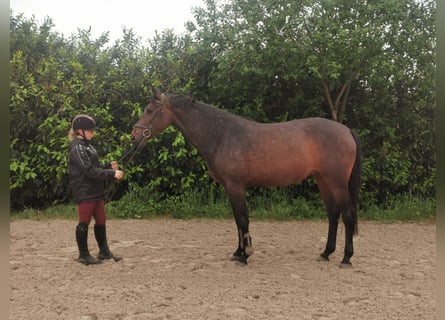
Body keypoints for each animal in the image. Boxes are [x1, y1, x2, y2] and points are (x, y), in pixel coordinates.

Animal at [131, 87, 360, 268]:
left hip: (337, 183)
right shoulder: (230, 188)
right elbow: (237, 220)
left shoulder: (235, 186)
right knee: (333, 214)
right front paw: (238, 252)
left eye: (149, 110)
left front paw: (245, 256)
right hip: (323, 180)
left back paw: (346, 258)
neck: (222, 135)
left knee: (347, 214)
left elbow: (242, 218)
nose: (134, 136)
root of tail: (346, 130)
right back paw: (326, 253)